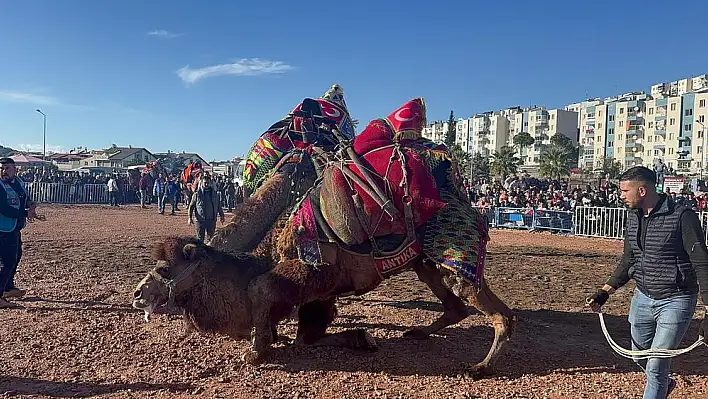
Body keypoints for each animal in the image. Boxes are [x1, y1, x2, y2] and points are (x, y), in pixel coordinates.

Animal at [134, 97, 516, 378]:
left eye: (165, 269)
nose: (137, 294)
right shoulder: (322, 292)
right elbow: (306, 336)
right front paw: (361, 338)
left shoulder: (312, 269)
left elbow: (261, 290)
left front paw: (256, 350)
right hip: (425, 261)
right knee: (456, 304)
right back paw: (419, 333)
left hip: (453, 244)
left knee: (498, 312)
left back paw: (479, 367)